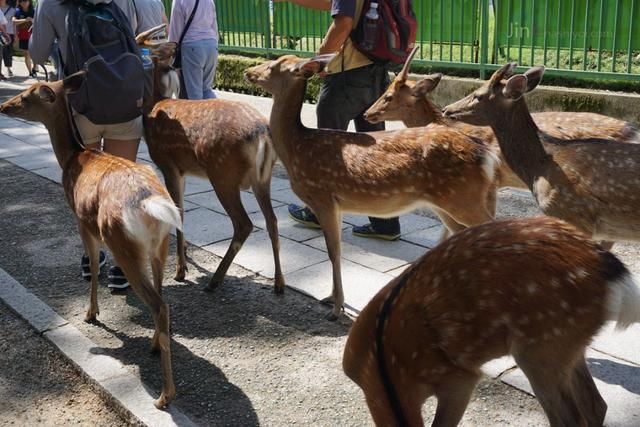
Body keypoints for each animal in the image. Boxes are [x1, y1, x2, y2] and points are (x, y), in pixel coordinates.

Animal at [0, 73, 181, 409]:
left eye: (27, 96)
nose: (4, 105)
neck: (73, 156)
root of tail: (152, 206)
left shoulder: (81, 221)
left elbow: (95, 268)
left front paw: (91, 313)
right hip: (160, 245)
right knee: (162, 297)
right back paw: (153, 346)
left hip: (121, 241)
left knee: (157, 302)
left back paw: (164, 396)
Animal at [135, 37, 285, 294]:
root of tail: (262, 133)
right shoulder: (183, 170)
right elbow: (181, 209)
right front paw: (185, 259)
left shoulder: (168, 164)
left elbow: (178, 211)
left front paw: (180, 271)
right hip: (262, 178)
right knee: (272, 221)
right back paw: (279, 284)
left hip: (222, 174)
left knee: (244, 224)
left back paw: (215, 280)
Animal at [244, 54, 502, 320]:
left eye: (274, 66)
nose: (247, 71)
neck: (297, 148)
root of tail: (487, 155)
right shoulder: (336, 205)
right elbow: (335, 250)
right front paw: (330, 298)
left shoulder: (322, 197)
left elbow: (334, 251)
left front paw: (336, 309)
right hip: (447, 203)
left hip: (463, 198)